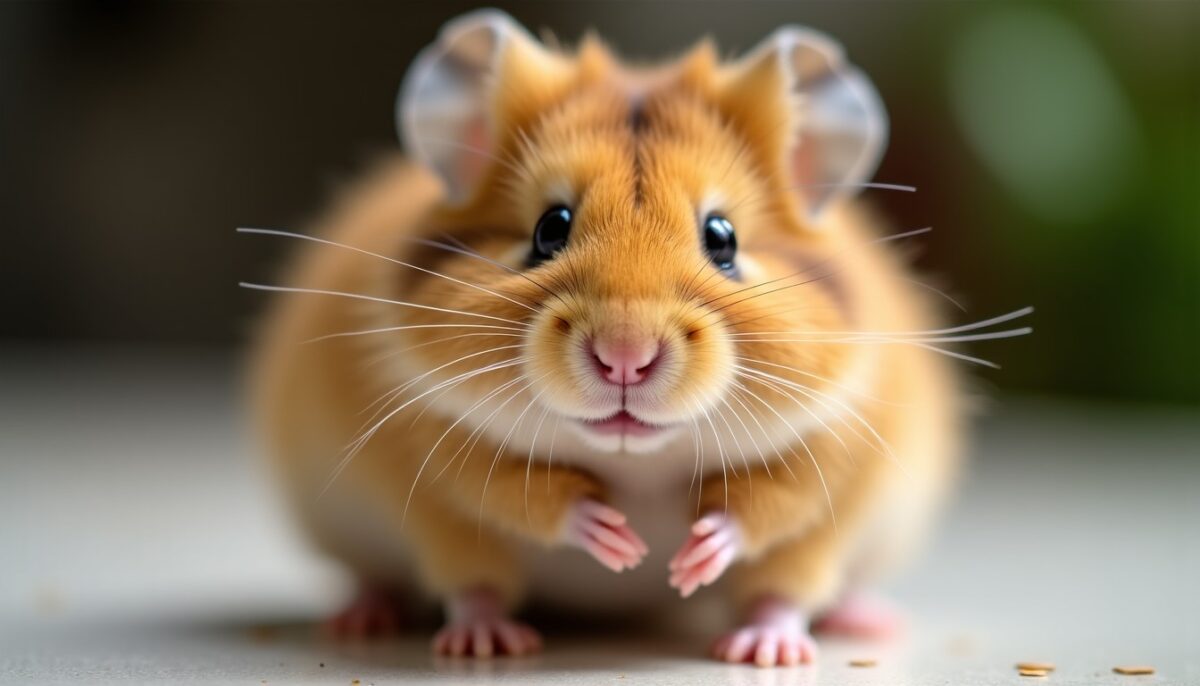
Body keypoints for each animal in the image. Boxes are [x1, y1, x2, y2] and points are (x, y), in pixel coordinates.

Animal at [247, 10, 1028, 666]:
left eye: (723, 238)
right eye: (549, 229)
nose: (625, 356)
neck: (639, 463)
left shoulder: (832, 460)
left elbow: (771, 524)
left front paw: (704, 572)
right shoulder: (436, 457)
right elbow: (514, 500)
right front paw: (617, 543)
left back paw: (846, 626)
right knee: (454, 585)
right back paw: (430, 631)